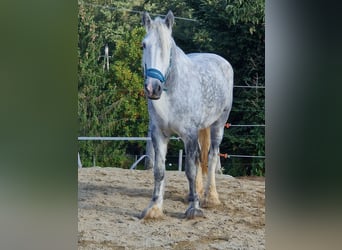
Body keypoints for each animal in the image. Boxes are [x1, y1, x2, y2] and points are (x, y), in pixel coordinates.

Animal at [140, 11, 234, 219]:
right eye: (143, 45)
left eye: (169, 47)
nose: (153, 88)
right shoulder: (158, 134)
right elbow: (159, 171)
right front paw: (154, 207)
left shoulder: (189, 133)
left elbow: (190, 170)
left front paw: (194, 209)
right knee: (200, 157)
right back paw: (196, 193)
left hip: (218, 125)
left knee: (212, 156)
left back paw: (210, 197)